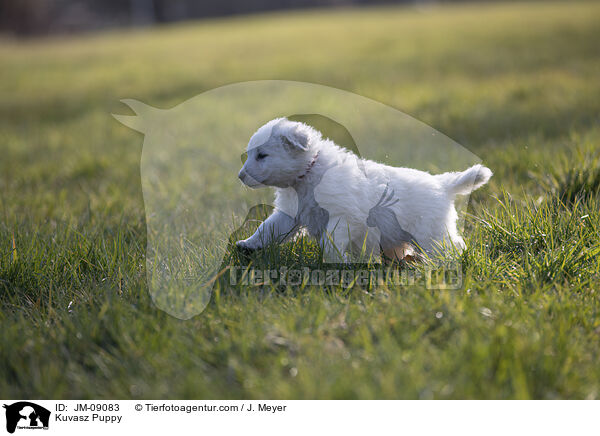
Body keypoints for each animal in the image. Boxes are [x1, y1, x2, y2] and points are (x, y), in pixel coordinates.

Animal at [236, 116, 492, 262]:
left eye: (262, 155)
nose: (240, 176)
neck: (308, 173)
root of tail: (443, 184)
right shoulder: (288, 214)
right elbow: (266, 229)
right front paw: (247, 245)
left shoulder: (341, 215)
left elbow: (330, 240)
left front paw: (337, 261)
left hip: (430, 232)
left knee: (452, 247)